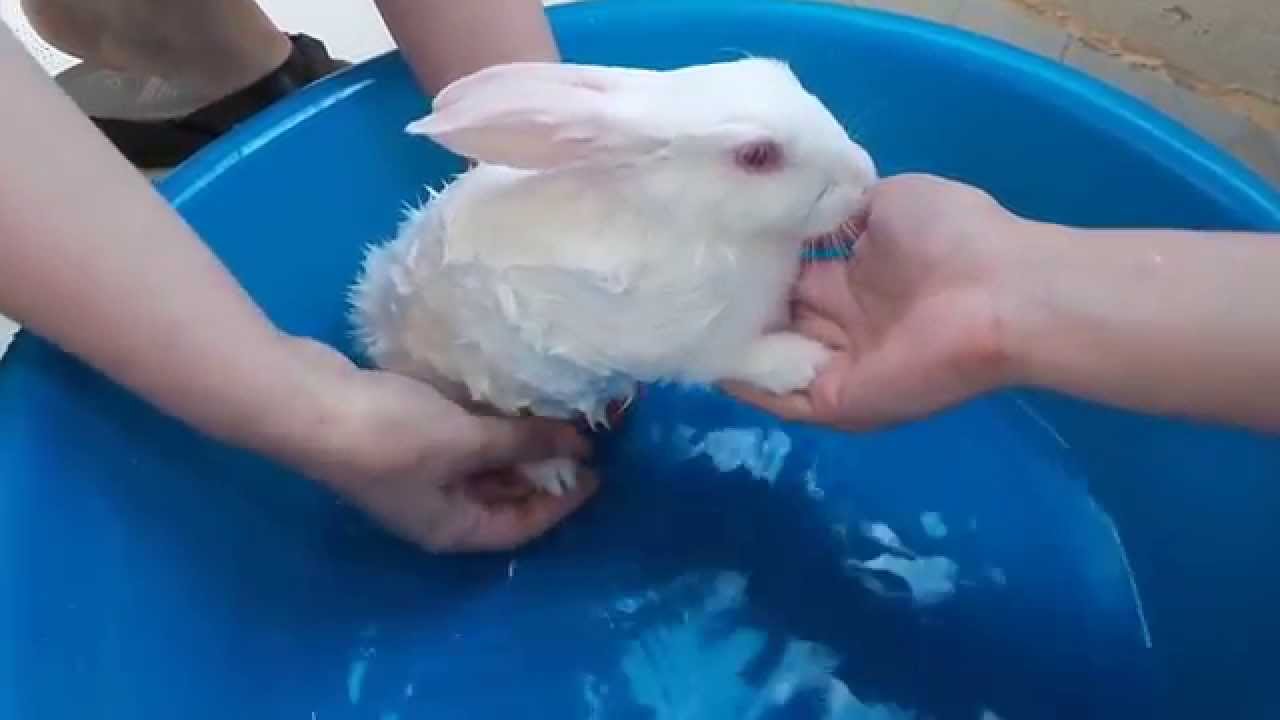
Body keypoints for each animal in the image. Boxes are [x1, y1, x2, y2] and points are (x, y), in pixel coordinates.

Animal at [350, 57, 877, 496]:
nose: (866, 176)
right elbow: (738, 359)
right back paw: (554, 474)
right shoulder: (693, 343)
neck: (694, 220)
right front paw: (803, 361)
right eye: (757, 156)